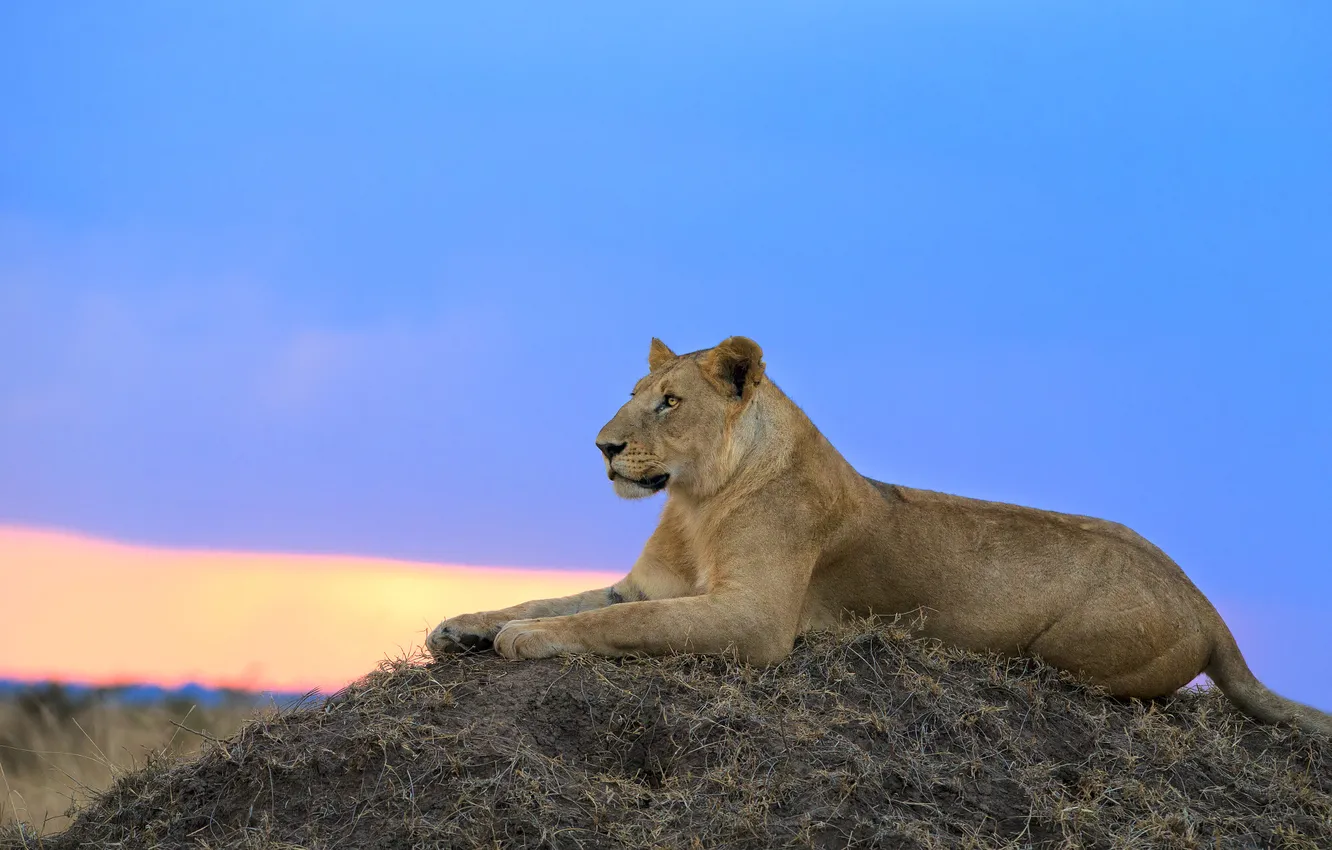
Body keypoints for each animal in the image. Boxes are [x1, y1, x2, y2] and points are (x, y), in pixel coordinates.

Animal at [428, 336, 1331, 735]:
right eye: (632, 393)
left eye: (670, 402)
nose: (603, 447)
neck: (695, 502)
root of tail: (1209, 606)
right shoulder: (648, 582)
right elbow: (558, 597)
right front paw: (463, 624)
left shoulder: (756, 622)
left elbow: (617, 622)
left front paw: (523, 642)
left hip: (1073, 650)